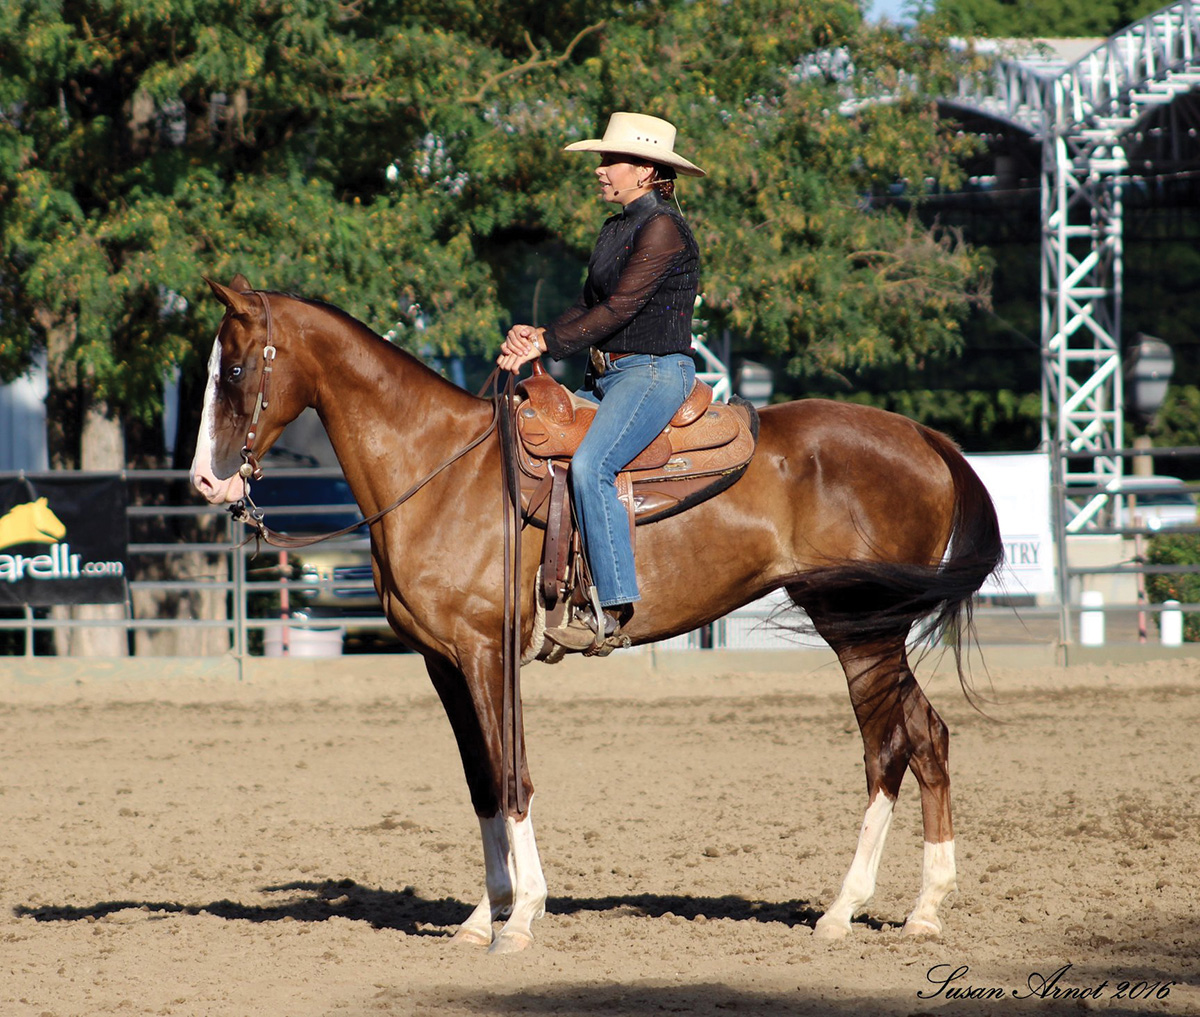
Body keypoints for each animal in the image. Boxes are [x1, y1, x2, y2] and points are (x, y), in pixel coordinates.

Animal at [192, 278, 1003, 954]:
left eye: (233, 371)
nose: (205, 480)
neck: (441, 468)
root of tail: (924, 438)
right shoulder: (444, 662)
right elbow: (482, 781)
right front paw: (483, 915)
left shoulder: (487, 653)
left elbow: (512, 775)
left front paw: (522, 917)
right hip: (868, 630)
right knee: (926, 736)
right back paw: (924, 908)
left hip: (861, 628)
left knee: (888, 747)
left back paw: (843, 910)